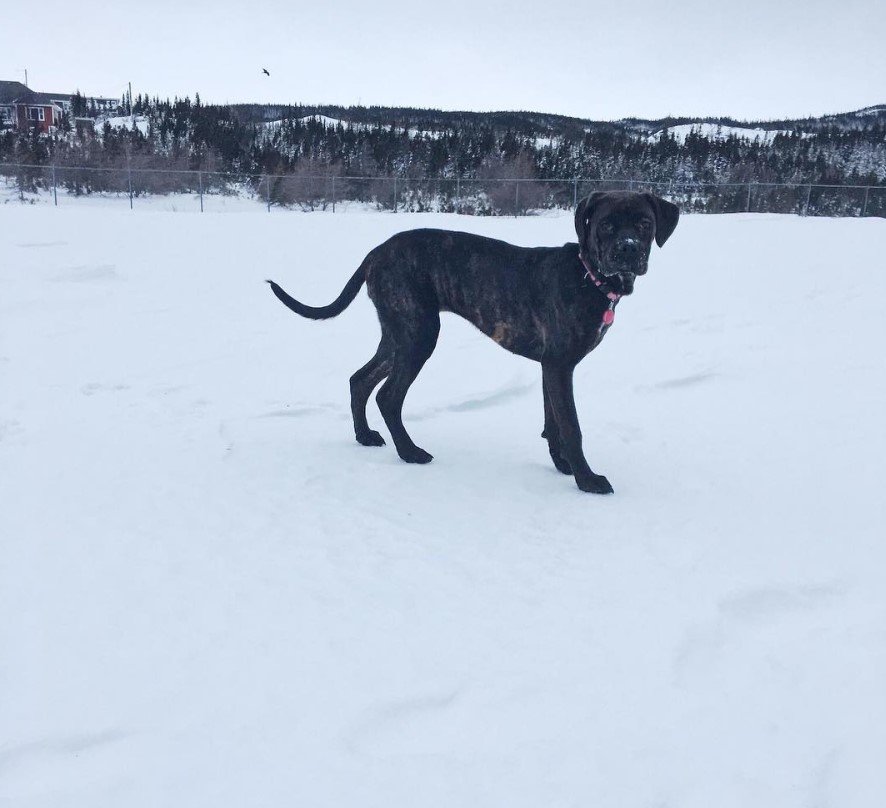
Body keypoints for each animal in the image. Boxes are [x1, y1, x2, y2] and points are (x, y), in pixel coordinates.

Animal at [268, 193, 684, 492]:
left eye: (644, 223)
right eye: (606, 225)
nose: (627, 249)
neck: (589, 277)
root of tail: (376, 252)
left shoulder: (551, 366)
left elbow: (552, 421)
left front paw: (562, 466)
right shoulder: (560, 364)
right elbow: (571, 426)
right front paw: (587, 480)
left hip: (399, 332)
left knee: (360, 379)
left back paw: (365, 436)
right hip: (419, 333)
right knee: (388, 395)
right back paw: (410, 453)